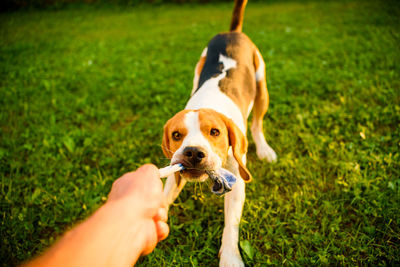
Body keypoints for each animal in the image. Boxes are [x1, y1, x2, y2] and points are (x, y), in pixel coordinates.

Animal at [161, 0, 276, 266]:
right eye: (176, 135)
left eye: (215, 132)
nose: (193, 153)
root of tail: (232, 32)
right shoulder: (174, 170)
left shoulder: (237, 178)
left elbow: (231, 226)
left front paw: (231, 257)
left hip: (261, 86)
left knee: (257, 124)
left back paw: (264, 149)